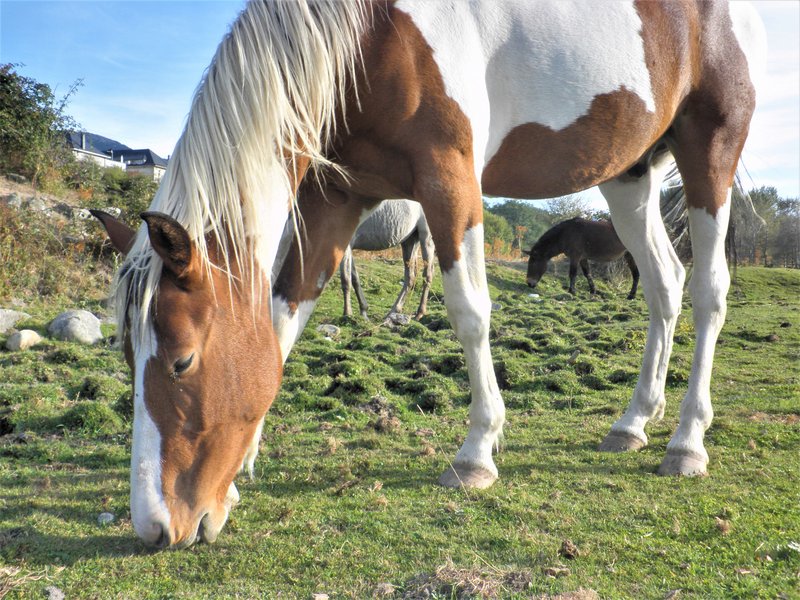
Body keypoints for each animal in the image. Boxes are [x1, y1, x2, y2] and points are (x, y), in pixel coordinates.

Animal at [90, 0, 764, 552]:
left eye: (183, 361)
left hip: (710, 155)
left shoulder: (450, 181)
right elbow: (283, 319)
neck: (370, 36)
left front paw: (476, 454)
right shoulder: (335, 200)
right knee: (664, 284)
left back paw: (686, 441)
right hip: (630, 175)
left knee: (708, 293)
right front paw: (233, 481)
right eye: (127, 355)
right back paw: (633, 422)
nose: (155, 527)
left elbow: (468, 312)